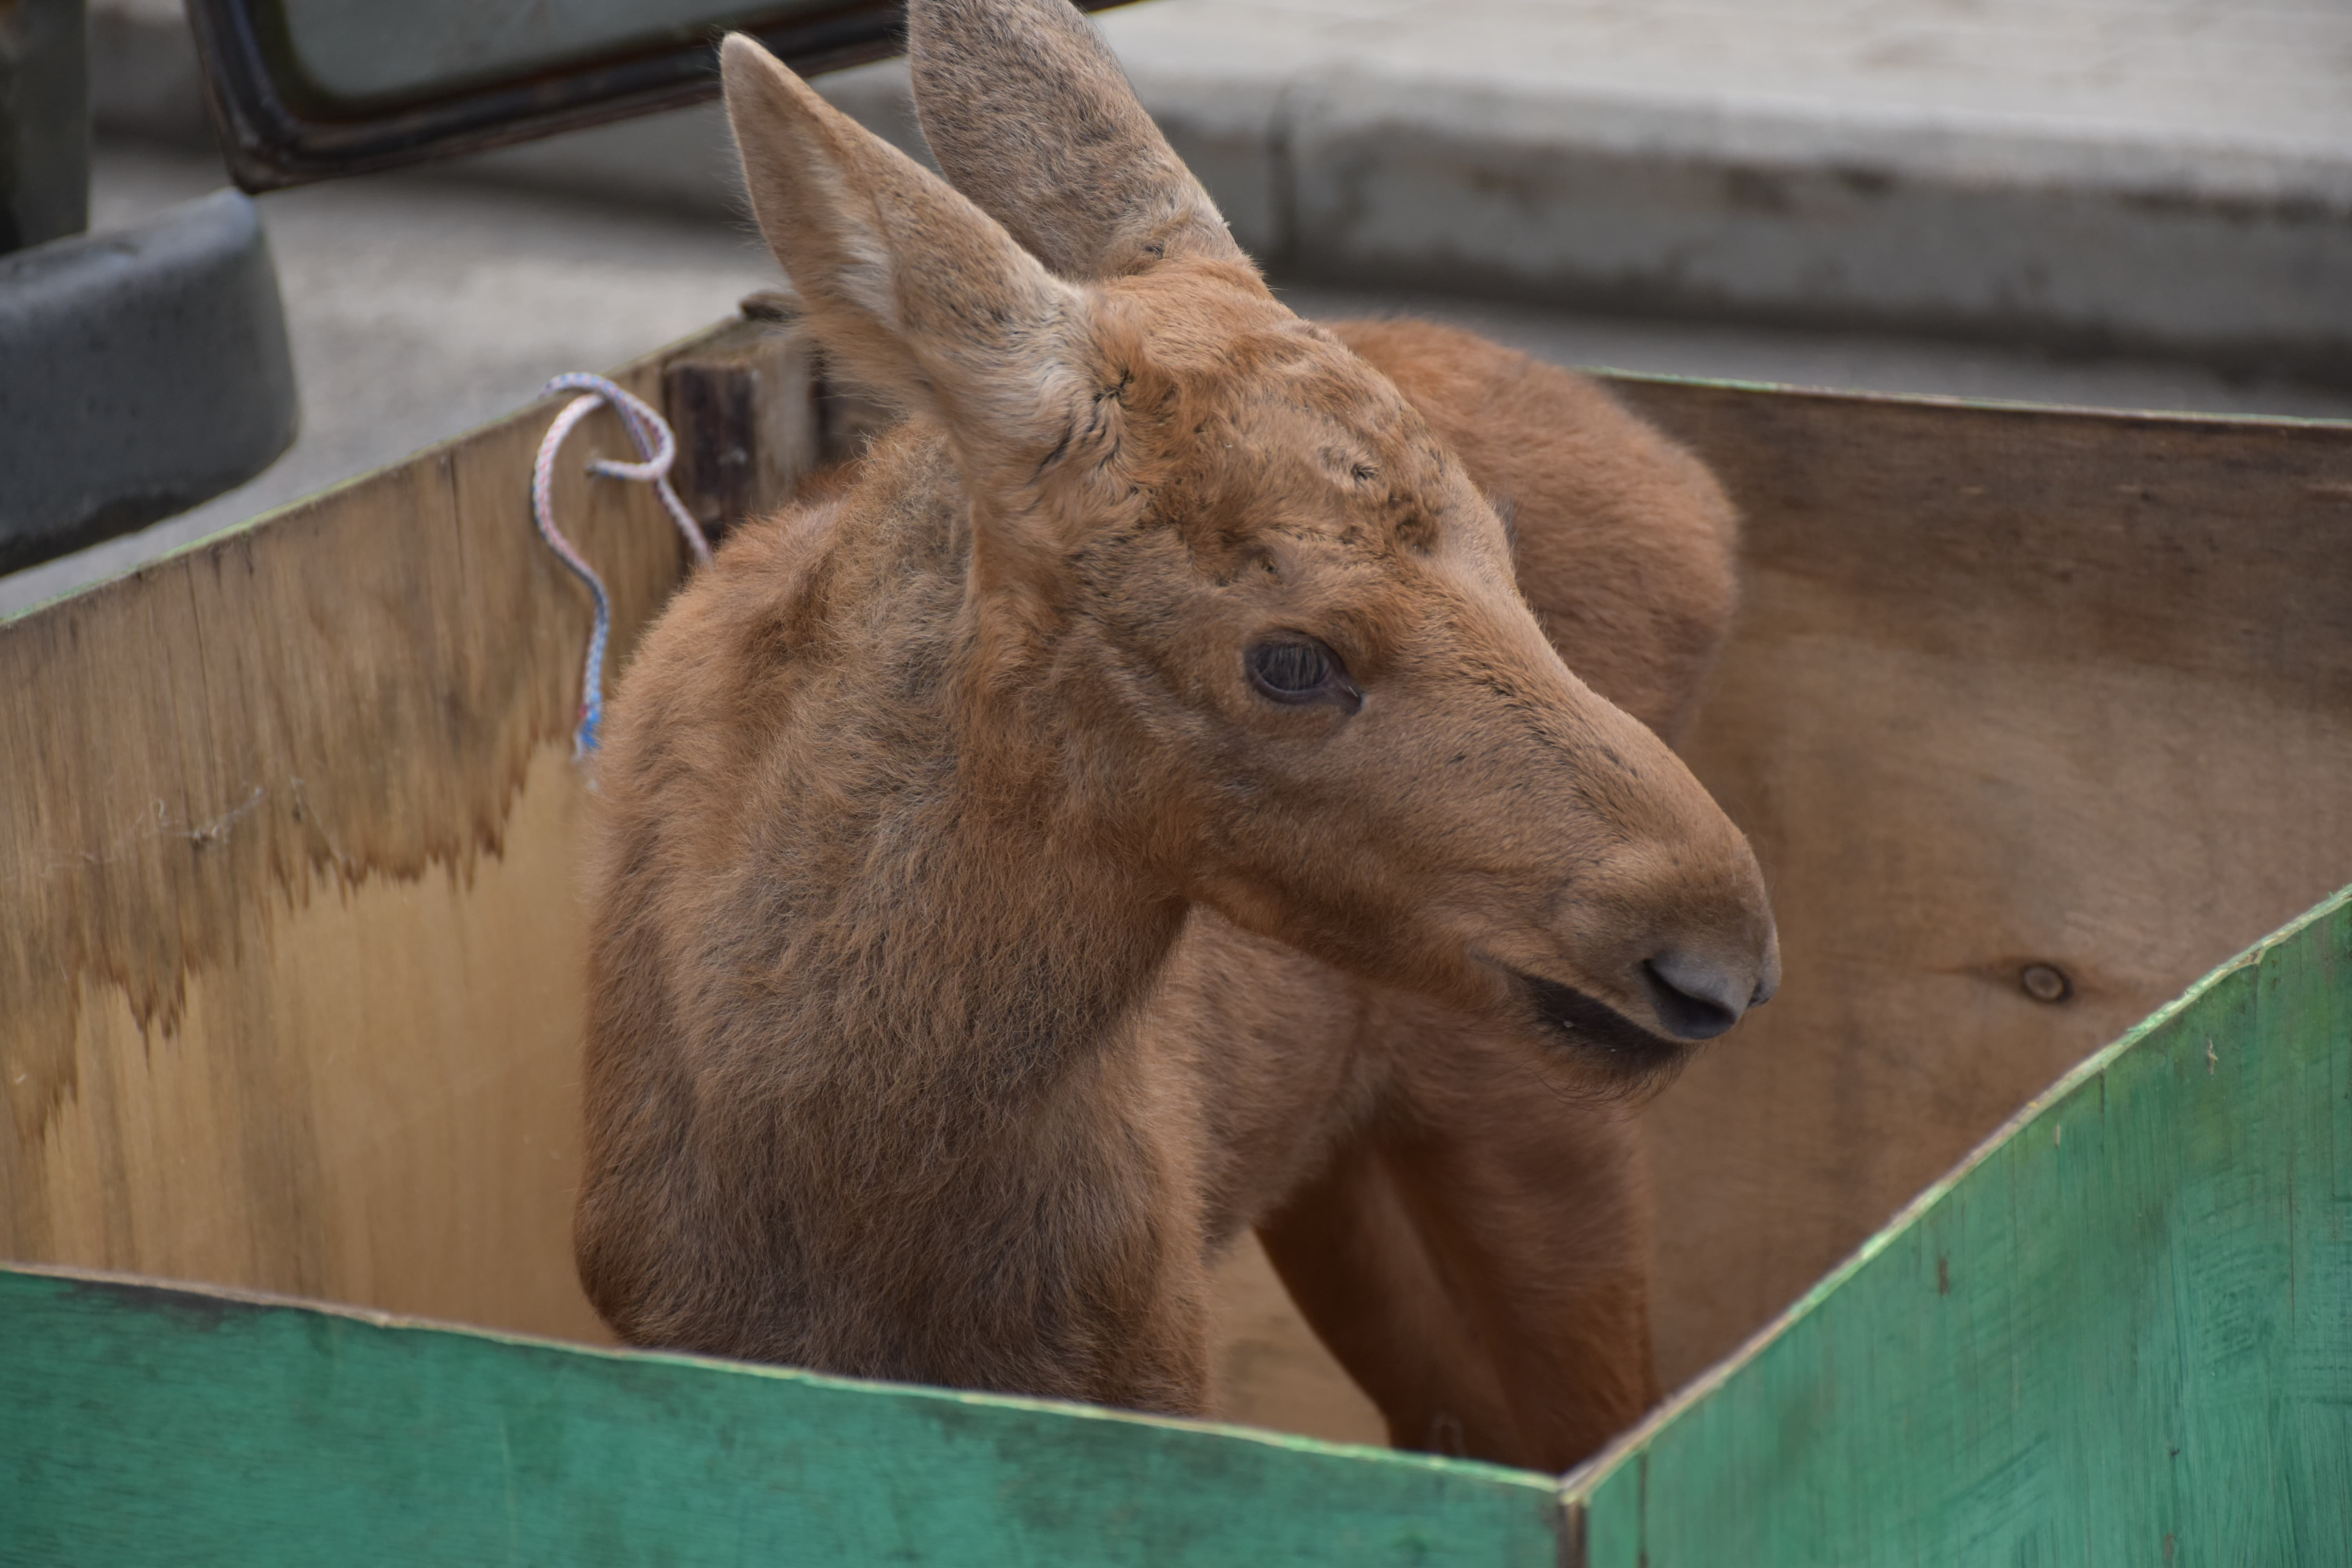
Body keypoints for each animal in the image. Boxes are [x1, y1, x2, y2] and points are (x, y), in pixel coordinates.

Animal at [579, 0, 1769, 1476]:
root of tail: (1701, 493)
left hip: (1525, 1119)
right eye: (1291, 658)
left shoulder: (1153, 1361)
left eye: (1504, 548)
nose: (1720, 950)